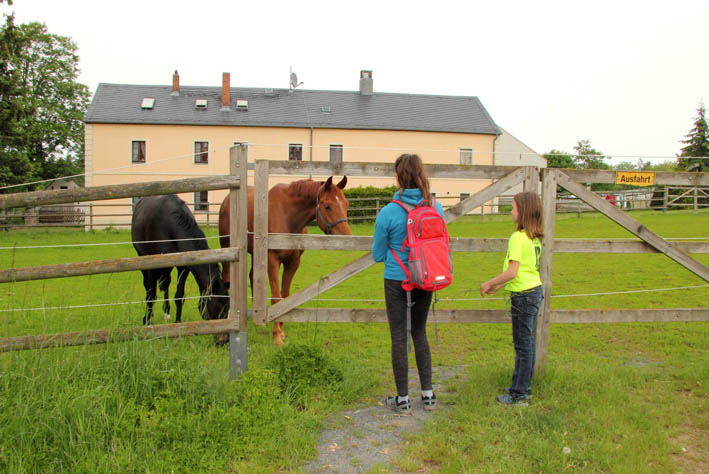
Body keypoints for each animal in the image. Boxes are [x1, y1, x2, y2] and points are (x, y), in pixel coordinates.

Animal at [131, 194, 228, 324]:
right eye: (220, 308)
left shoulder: (183, 267)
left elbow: (179, 295)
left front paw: (178, 321)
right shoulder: (152, 265)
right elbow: (151, 295)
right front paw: (147, 320)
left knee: (165, 283)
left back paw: (167, 312)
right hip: (141, 256)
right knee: (148, 286)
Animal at [218, 175, 352, 344]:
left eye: (346, 204)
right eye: (327, 206)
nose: (347, 237)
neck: (287, 216)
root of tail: (226, 200)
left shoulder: (293, 262)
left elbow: (285, 296)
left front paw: (281, 330)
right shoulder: (272, 260)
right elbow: (277, 297)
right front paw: (277, 336)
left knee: (253, 277)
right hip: (227, 250)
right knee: (226, 281)